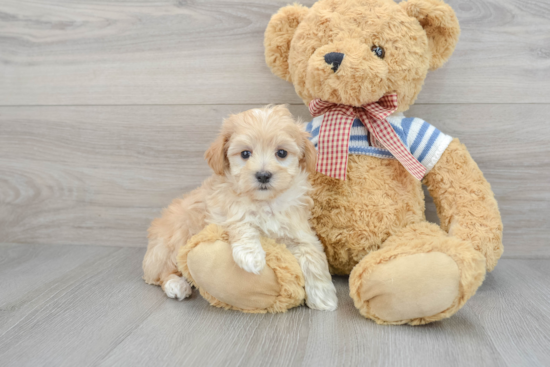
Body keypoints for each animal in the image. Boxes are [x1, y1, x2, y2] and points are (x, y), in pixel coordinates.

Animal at [141, 105, 340, 312]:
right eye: (245, 154)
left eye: (282, 153)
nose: (263, 175)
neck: (265, 202)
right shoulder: (223, 211)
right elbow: (241, 221)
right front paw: (251, 256)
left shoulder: (300, 231)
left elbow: (313, 256)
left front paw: (323, 298)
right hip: (175, 238)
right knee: (161, 273)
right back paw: (176, 285)